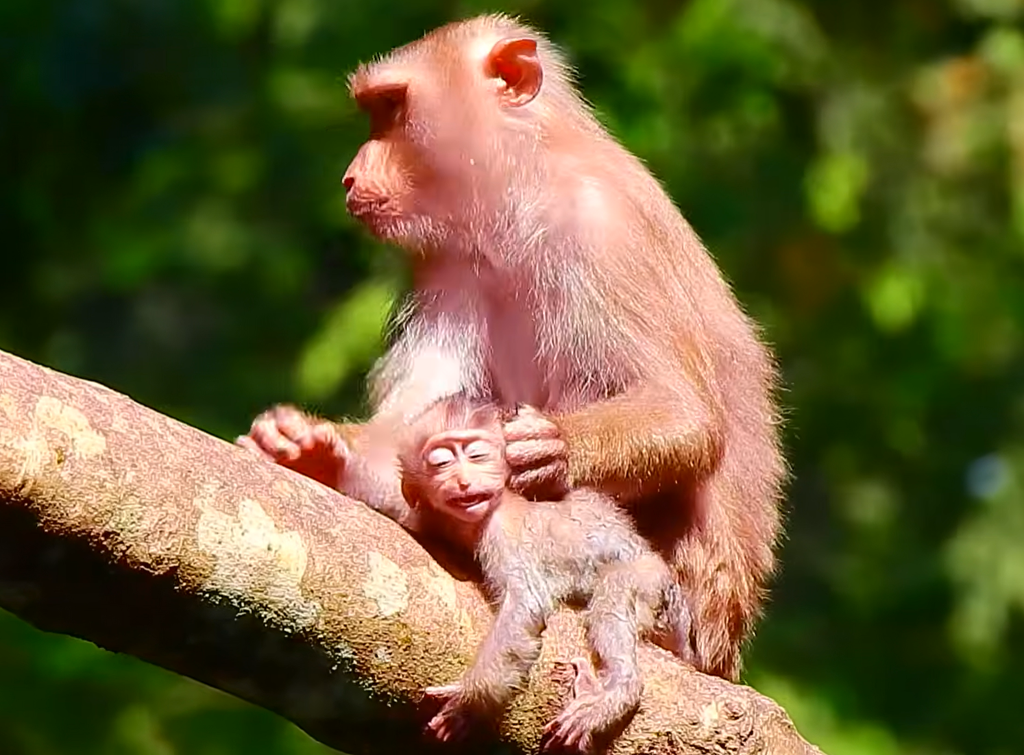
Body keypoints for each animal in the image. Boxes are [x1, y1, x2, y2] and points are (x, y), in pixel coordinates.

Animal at [237, 14, 786, 682]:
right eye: (375, 111)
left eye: (392, 109)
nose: (351, 173)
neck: (521, 200)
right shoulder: (449, 267)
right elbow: (419, 425)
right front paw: (321, 453)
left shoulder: (602, 229)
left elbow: (686, 415)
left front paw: (555, 450)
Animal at [384, 395, 682, 752]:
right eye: (441, 462)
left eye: (477, 455)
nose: (464, 480)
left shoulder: (501, 531)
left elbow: (524, 604)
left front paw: (469, 702)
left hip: (647, 575)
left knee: (614, 596)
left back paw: (620, 688)